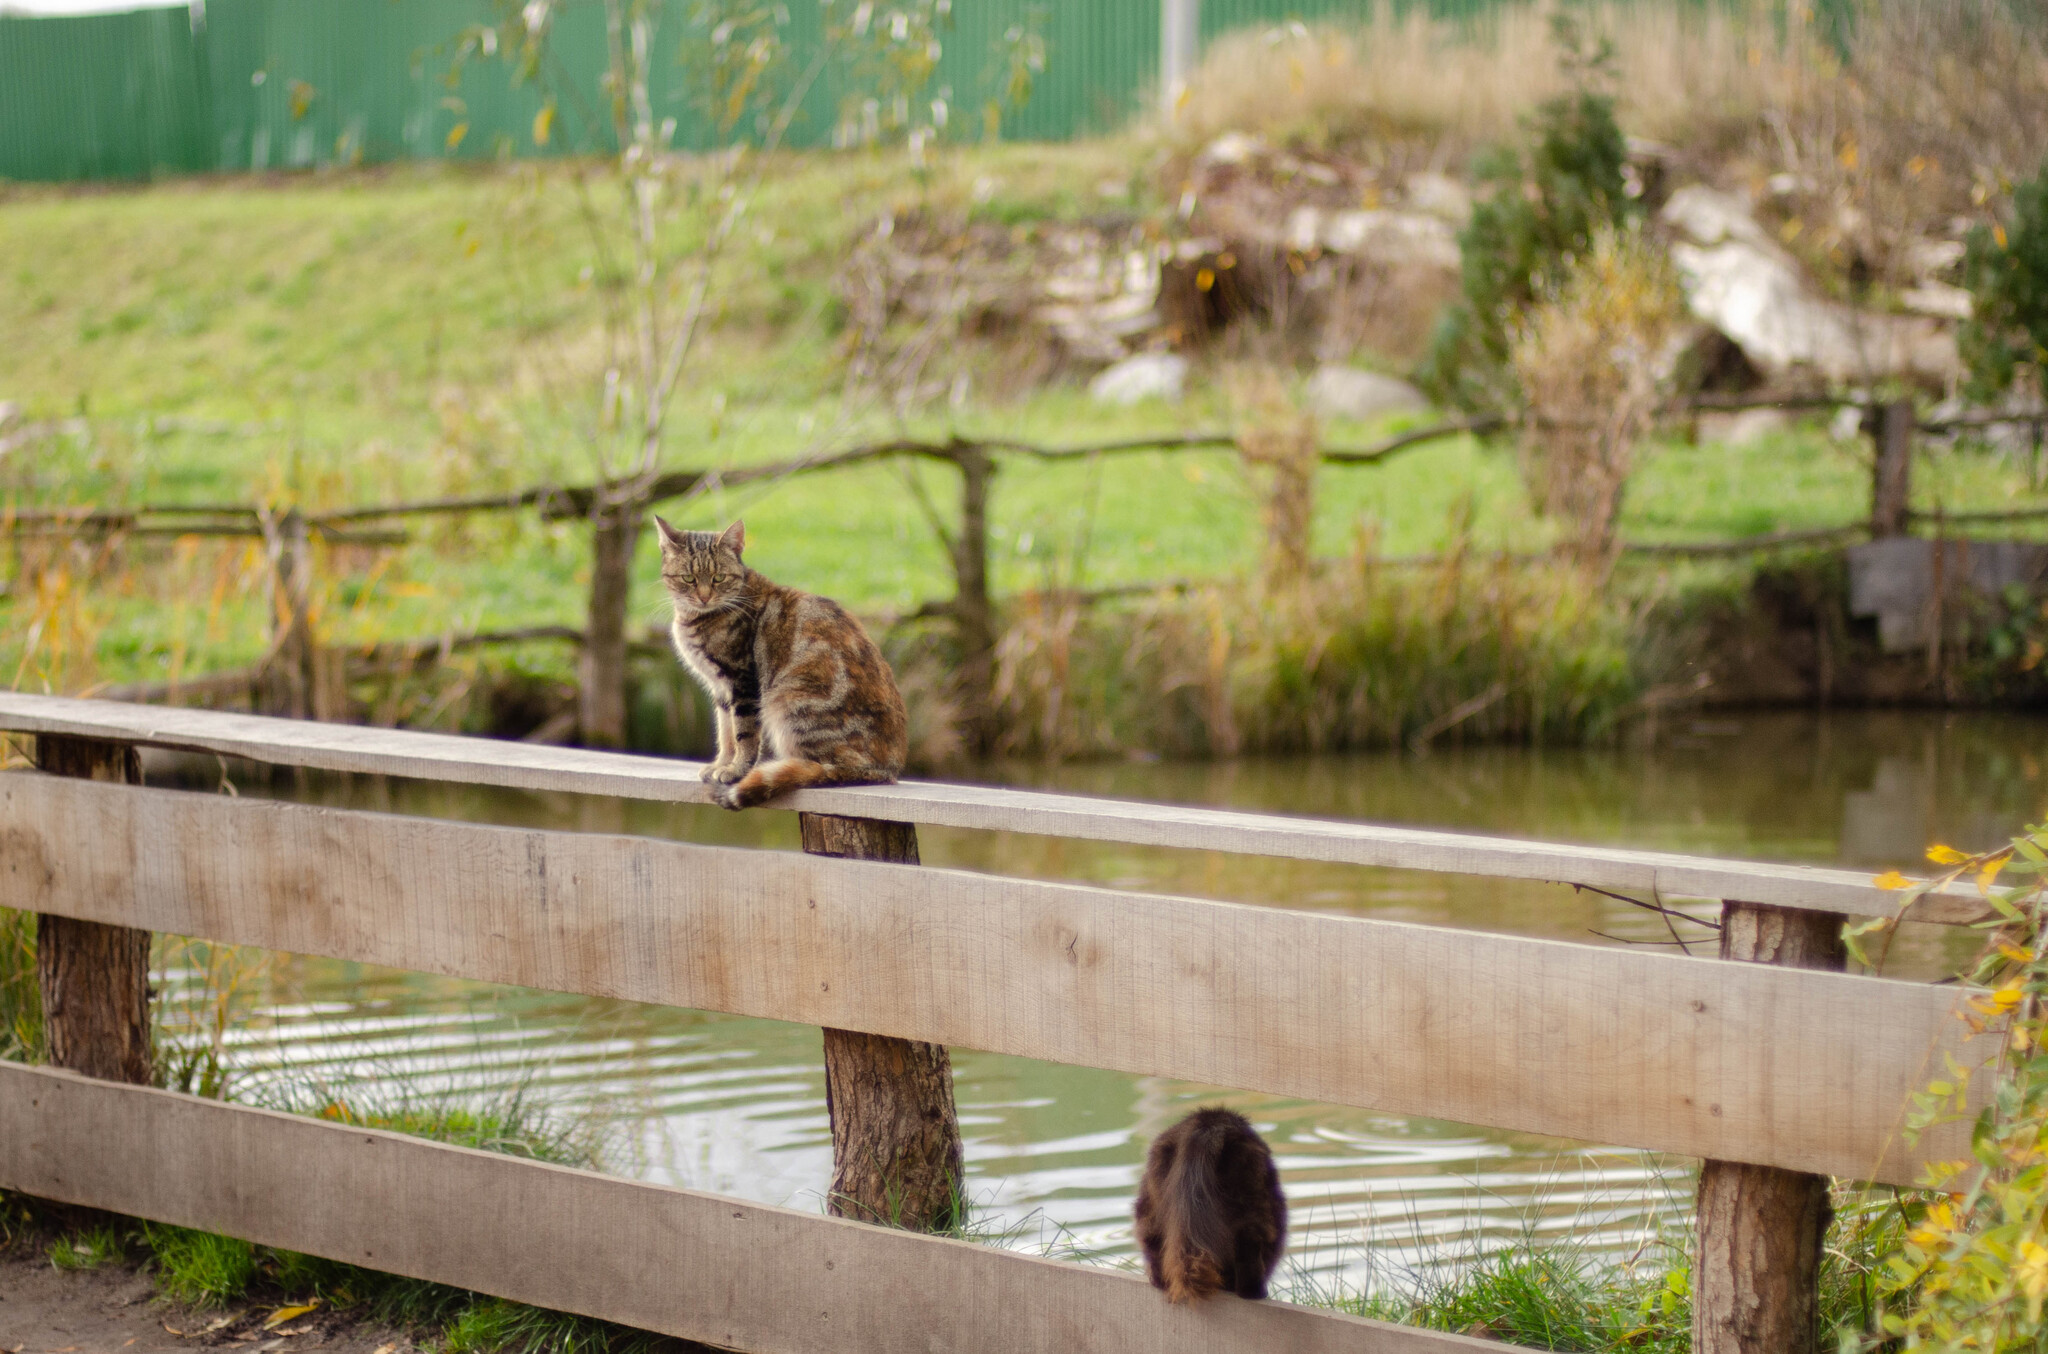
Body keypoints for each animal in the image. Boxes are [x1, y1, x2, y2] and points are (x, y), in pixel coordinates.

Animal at [659, 518, 909, 807]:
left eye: (718, 577)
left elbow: (743, 733)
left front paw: (736, 770)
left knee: (832, 769)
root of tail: (888, 769)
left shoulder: (741, 682)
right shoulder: (721, 688)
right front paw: (721, 764)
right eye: (688, 578)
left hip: (788, 701)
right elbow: (725, 732)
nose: (703, 596)